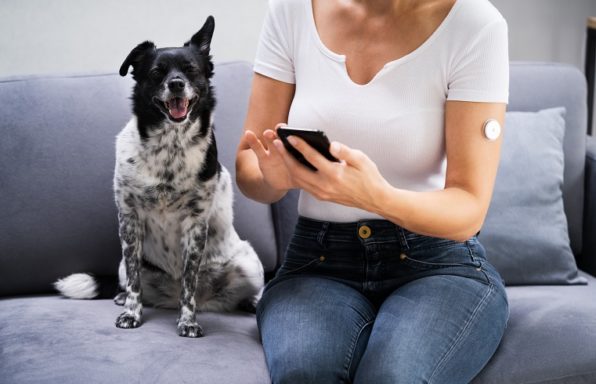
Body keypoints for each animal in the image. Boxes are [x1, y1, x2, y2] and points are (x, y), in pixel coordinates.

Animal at [54, 16, 264, 338]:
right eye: (156, 72)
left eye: (191, 70)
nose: (176, 84)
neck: (170, 147)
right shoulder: (129, 219)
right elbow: (135, 282)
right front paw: (131, 313)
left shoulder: (195, 225)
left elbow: (189, 283)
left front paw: (188, 321)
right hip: (123, 264)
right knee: (132, 281)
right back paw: (121, 297)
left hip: (249, 263)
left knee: (245, 291)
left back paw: (252, 302)